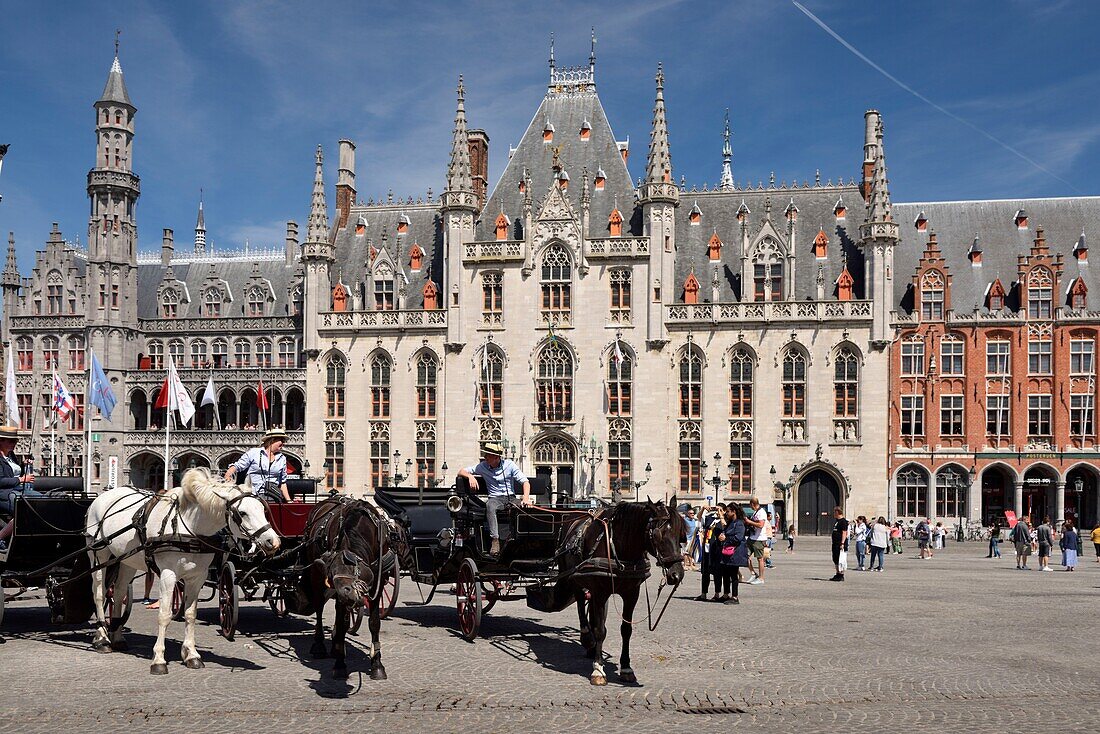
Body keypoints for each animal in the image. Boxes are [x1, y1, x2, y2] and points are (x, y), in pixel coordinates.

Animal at [86, 468, 283, 673]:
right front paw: (158, 659)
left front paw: (191, 655)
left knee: (118, 592)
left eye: (263, 509)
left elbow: (190, 615)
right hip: (98, 554)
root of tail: (105, 495)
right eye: (242, 513)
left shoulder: (197, 577)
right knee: (99, 593)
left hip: (127, 560)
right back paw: (102, 639)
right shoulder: (168, 575)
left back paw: (117, 637)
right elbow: (164, 615)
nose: (273, 541)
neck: (189, 527)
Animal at [299, 497, 393, 682]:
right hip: (315, 576)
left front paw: (377, 664)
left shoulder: (378, 585)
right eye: (332, 572)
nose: (346, 594)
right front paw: (340, 665)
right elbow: (343, 623)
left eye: (355, 571)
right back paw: (320, 645)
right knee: (319, 607)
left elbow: (374, 623)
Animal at [554, 499, 682, 691]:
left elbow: (626, 630)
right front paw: (598, 670)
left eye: (681, 533)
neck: (621, 549)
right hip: (574, 577)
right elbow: (600, 630)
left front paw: (626, 668)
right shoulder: (600, 591)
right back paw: (587, 638)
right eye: (658, 534)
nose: (677, 574)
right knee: (580, 605)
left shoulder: (631, 594)